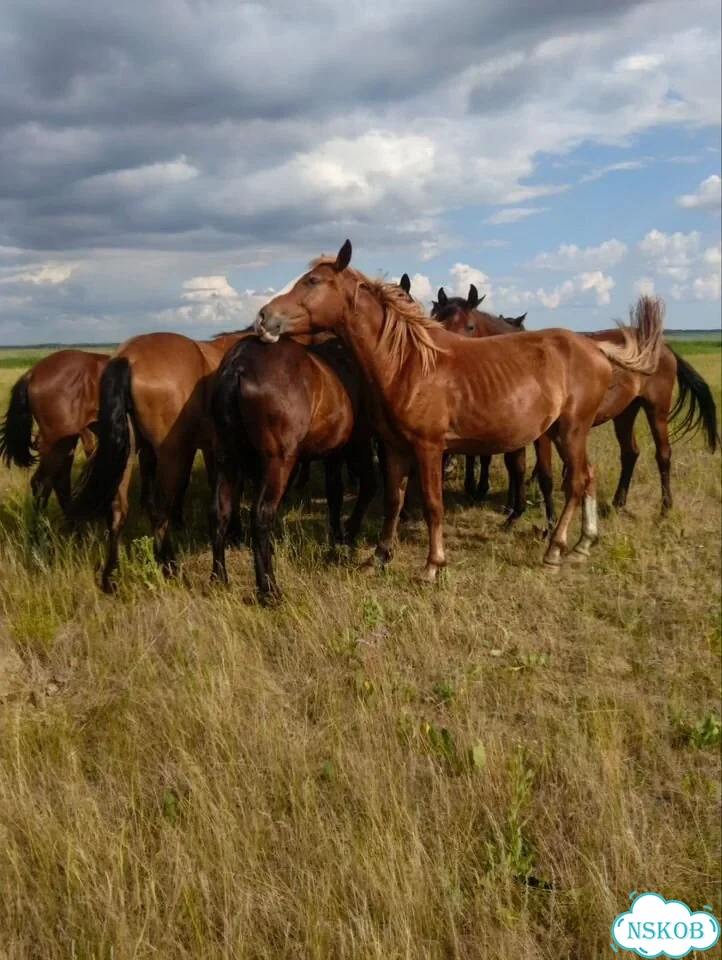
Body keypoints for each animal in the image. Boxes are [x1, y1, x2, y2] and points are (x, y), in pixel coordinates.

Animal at [210, 335, 377, 602]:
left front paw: (336, 537)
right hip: (278, 460)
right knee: (261, 515)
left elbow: (335, 494)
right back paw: (269, 590)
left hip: (227, 458)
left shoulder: (332, 452)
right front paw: (346, 535)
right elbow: (362, 487)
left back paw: (219, 578)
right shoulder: (356, 443)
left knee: (220, 511)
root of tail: (238, 365)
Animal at [254, 240, 663, 581]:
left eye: (312, 282)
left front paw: (432, 566)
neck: (408, 364)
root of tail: (595, 349)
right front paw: (379, 558)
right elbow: (393, 501)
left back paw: (555, 550)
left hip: (569, 430)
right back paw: (583, 545)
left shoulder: (430, 448)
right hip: (568, 434)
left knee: (576, 481)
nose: (263, 319)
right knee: (589, 476)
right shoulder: (395, 449)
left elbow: (433, 505)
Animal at [449, 299, 718, 518]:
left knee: (663, 454)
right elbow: (513, 464)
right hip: (625, 412)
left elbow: (529, 468)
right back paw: (618, 503)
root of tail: (661, 346)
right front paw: (510, 505)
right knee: (630, 453)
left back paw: (665, 508)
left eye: (469, 326)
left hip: (656, 408)